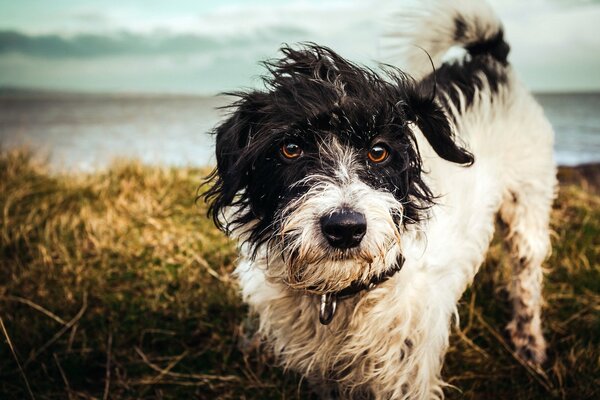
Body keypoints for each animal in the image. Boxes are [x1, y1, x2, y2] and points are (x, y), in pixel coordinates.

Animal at [204, 0, 556, 396]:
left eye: (378, 152)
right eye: (290, 148)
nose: (345, 228)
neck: (340, 293)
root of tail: (489, 60)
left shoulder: (406, 373)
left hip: (528, 205)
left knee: (527, 276)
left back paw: (529, 343)